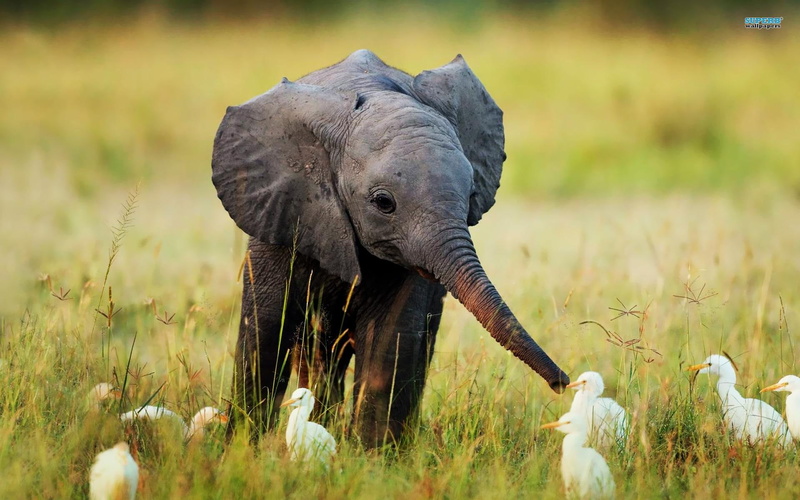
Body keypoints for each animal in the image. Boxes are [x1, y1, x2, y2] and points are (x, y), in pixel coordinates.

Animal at [212, 49, 569, 447]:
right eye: (384, 203)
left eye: (472, 194)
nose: (562, 383)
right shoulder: (280, 212)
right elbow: (265, 331)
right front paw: (240, 449)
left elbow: (390, 339)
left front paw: (373, 457)